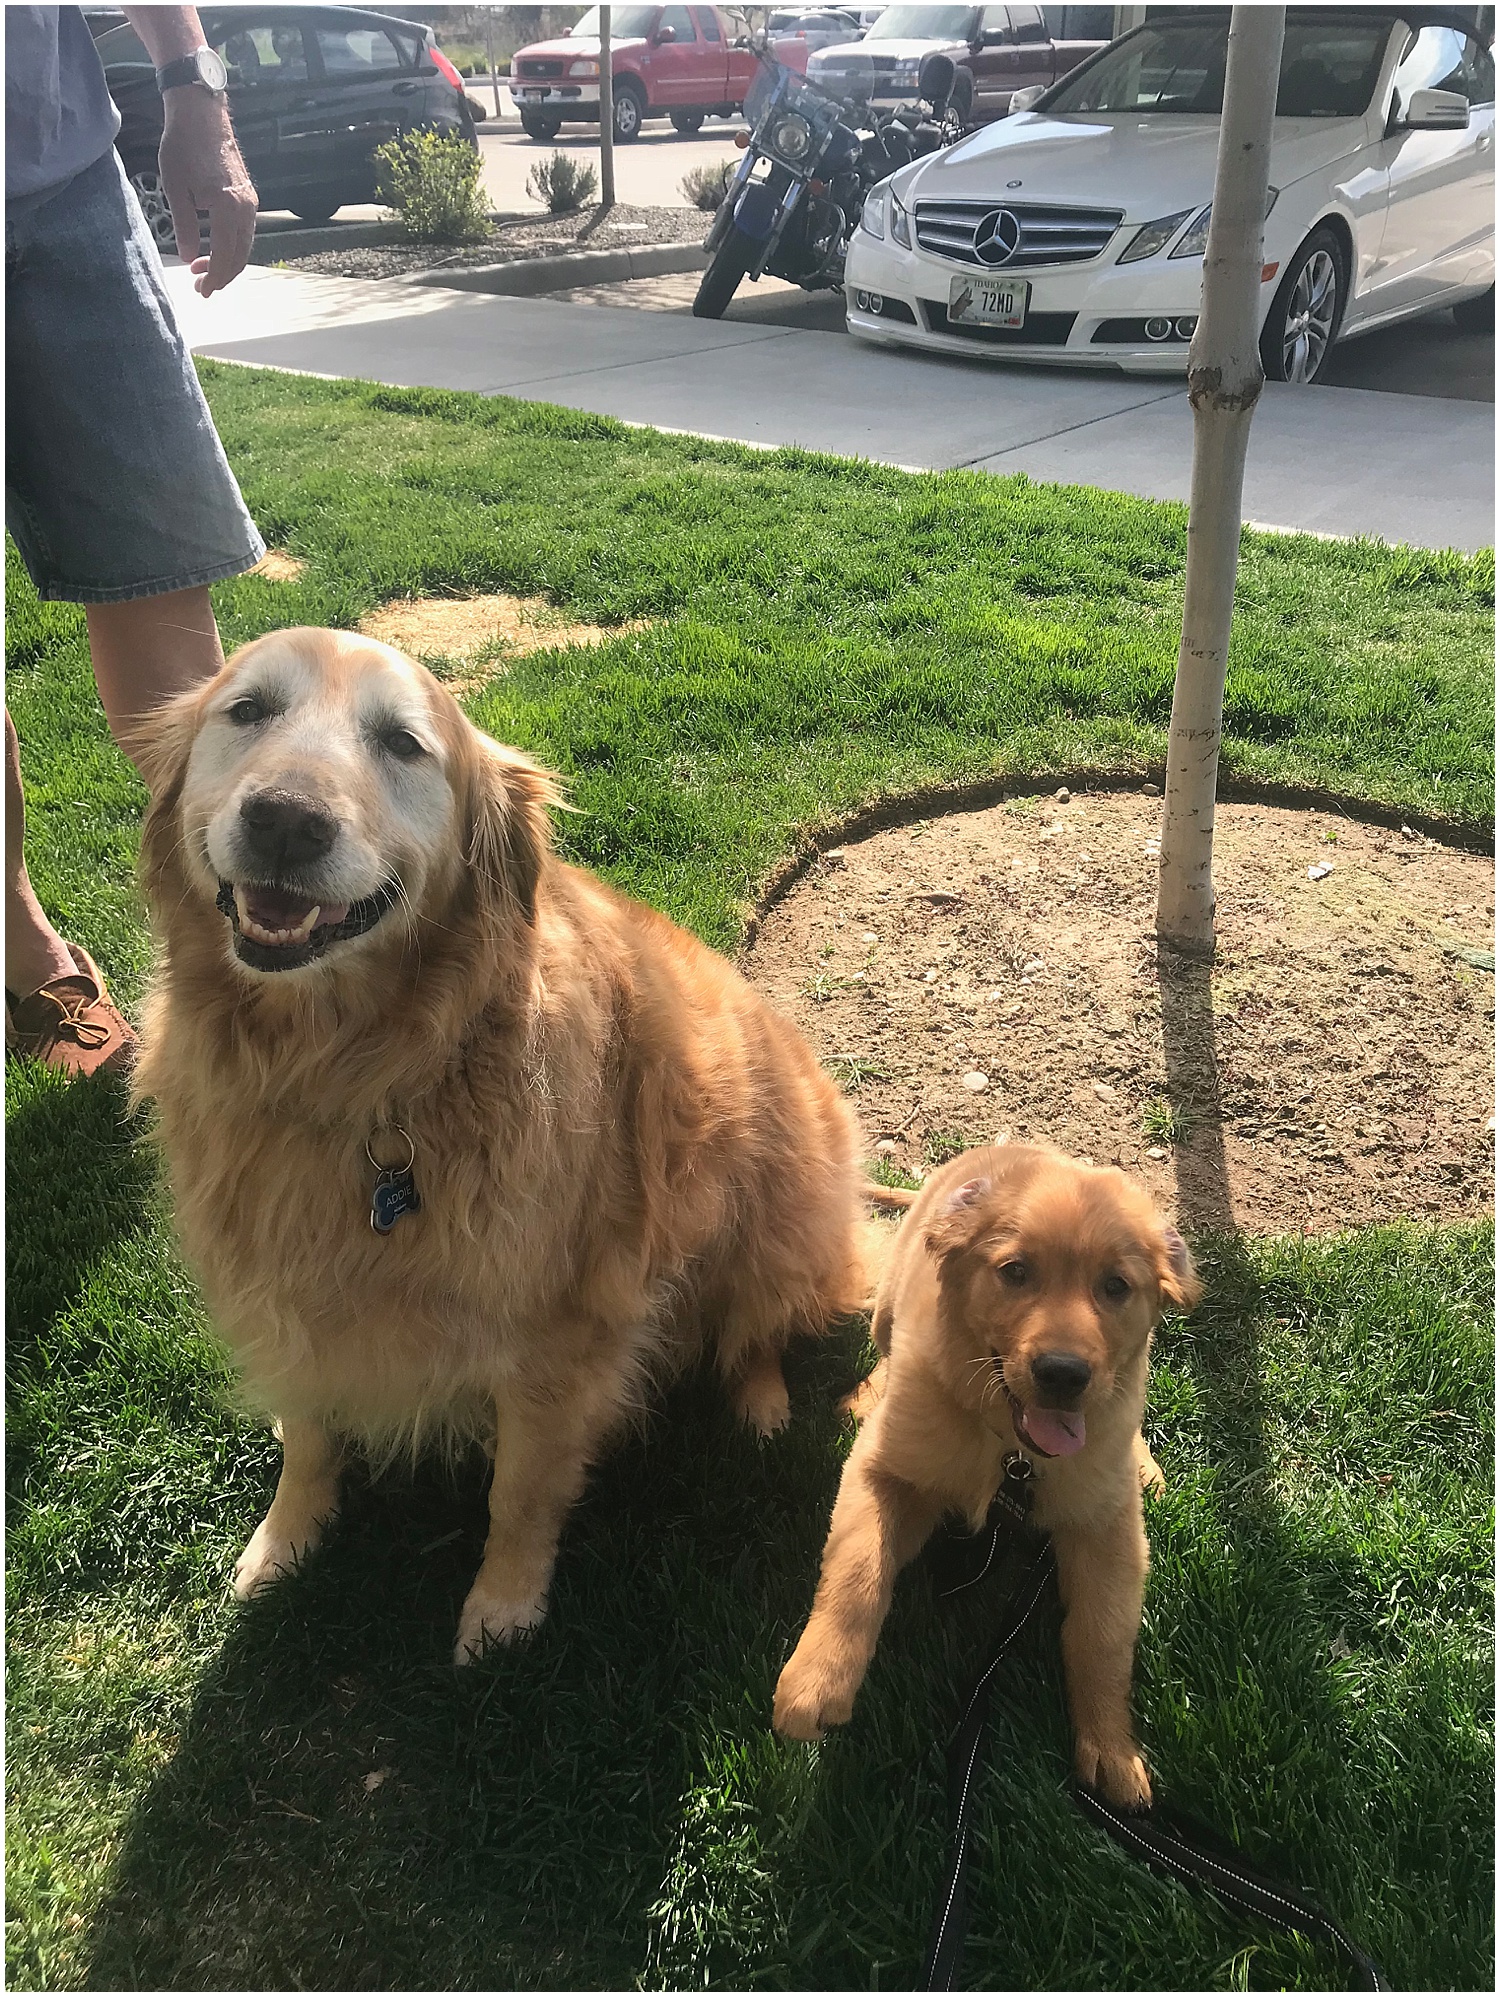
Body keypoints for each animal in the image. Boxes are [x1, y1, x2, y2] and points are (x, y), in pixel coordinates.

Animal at [137, 631, 866, 1661]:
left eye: (403, 743)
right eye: (247, 711)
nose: (285, 821)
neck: (349, 1078)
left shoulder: (562, 1337)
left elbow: (519, 1493)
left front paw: (503, 1609)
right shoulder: (290, 1292)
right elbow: (311, 1436)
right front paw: (284, 1538)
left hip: (777, 1216)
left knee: (755, 1327)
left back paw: (759, 1402)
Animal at [766, 1142, 1206, 1813]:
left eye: (1116, 1286)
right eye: (1016, 1272)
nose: (1063, 1373)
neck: (1010, 1450)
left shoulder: (1109, 1525)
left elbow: (1102, 1635)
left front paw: (1110, 1746)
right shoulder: (883, 1471)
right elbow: (858, 1571)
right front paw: (817, 1683)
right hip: (889, 1298)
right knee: (885, 1346)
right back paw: (867, 1394)